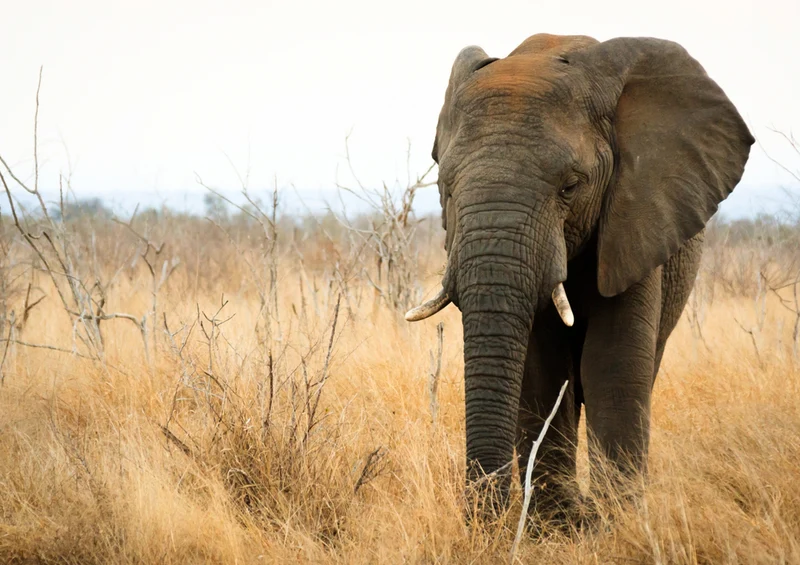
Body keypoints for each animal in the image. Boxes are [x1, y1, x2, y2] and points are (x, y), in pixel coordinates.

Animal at [405, 34, 753, 520]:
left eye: (570, 187)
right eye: (446, 187)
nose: (486, 517)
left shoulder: (636, 217)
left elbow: (613, 361)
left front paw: (615, 523)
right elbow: (542, 369)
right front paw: (558, 523)